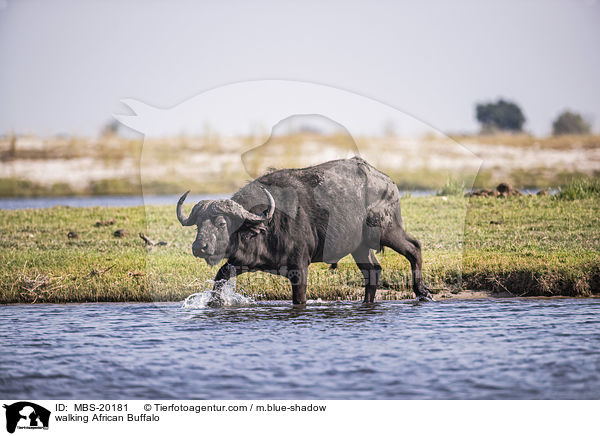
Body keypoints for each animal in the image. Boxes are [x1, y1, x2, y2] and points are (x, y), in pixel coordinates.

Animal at [176, 158, 434, 304]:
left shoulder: (300, 268)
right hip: (360, 247)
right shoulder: (243, 261)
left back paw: (422, 292)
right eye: (199, 224)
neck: (270, 223)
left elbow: (299, 299)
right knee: (373, 271)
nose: (199, 247)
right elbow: (220, 276)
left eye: (221, 223)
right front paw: (214, 302)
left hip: (386, 230)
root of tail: (389, 182)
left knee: (414, 248)